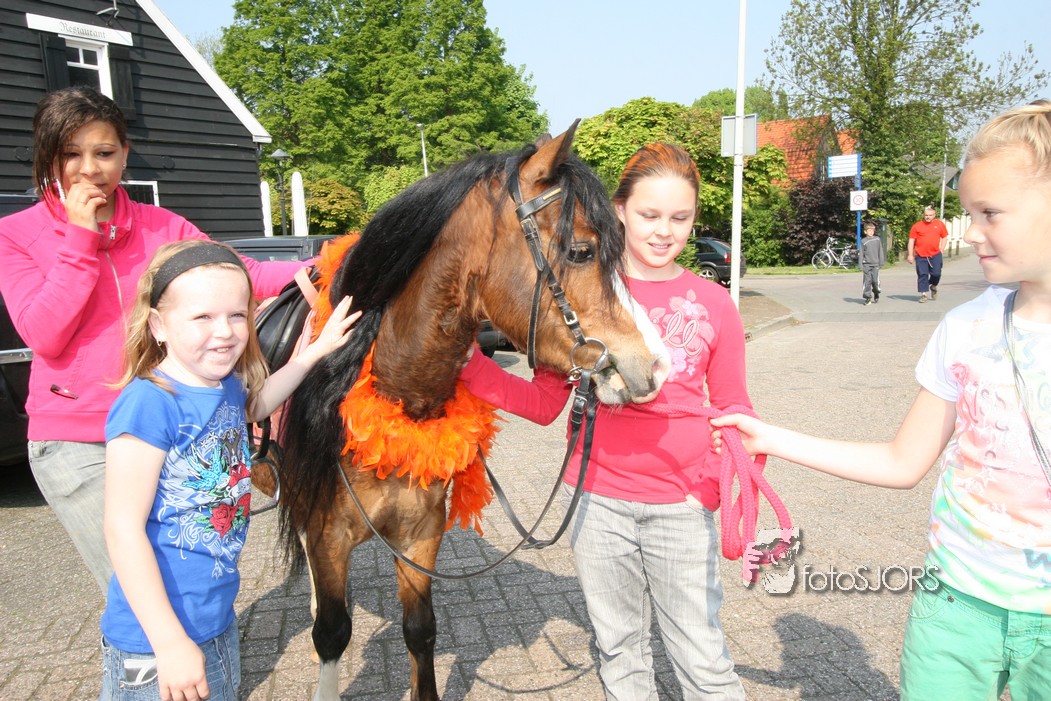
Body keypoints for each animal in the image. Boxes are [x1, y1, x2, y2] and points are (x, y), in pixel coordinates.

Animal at [265, 123, 669, 700]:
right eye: (581, 251)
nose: (654, 365)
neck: (398, 392)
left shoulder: (421, 536)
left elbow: (420, 631)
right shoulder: (329, 536)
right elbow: (332, 635)